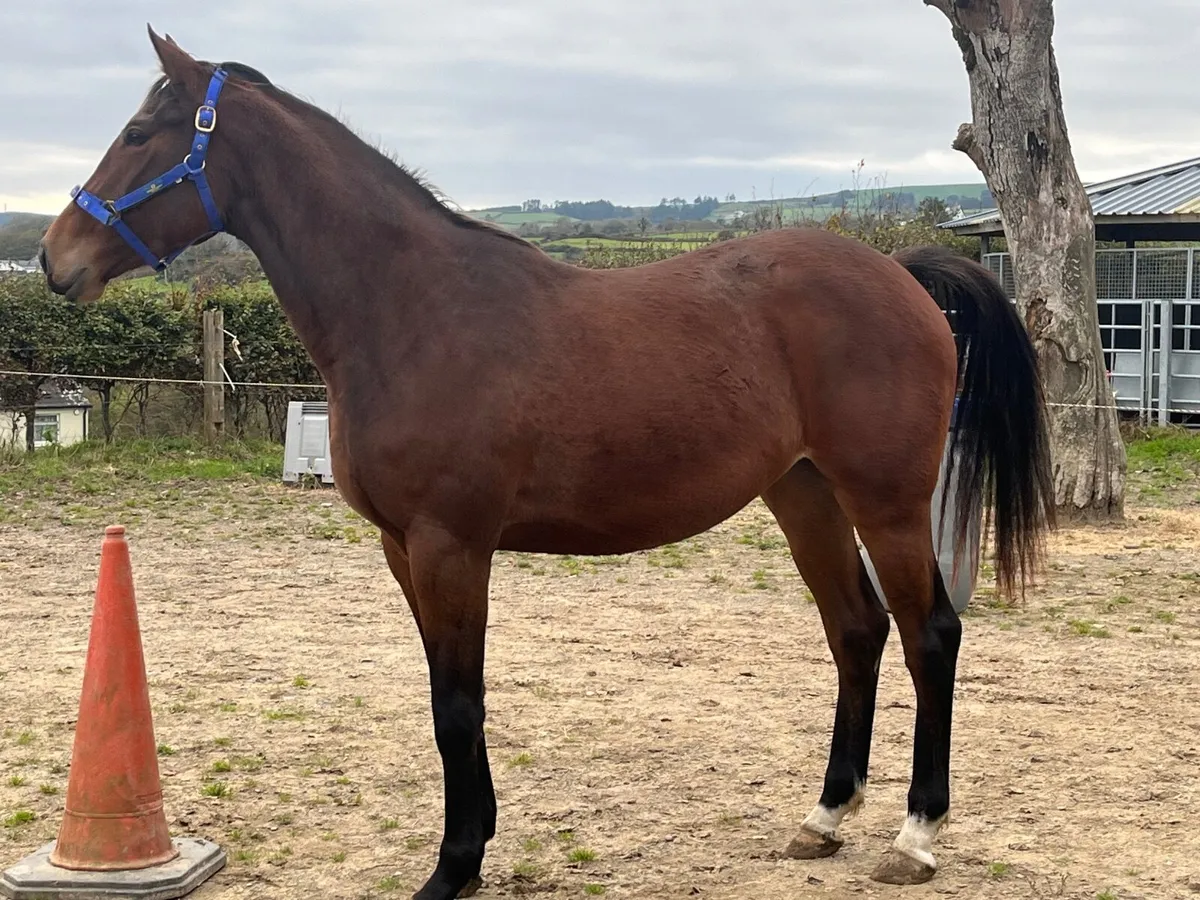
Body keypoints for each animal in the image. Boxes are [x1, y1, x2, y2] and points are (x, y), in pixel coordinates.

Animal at [39, 27, 1055, 900]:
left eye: (139, 132)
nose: (54, 258)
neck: (414, 312)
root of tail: (903, 272)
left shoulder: (451, 545)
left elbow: (458, 704)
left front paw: (453, 868)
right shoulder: (403, 550)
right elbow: (448, 697)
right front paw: (473, 848)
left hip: (885, 500)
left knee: (929, 635)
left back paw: (915, 836)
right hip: (802, 495)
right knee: (856, 630)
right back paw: (826, 817)